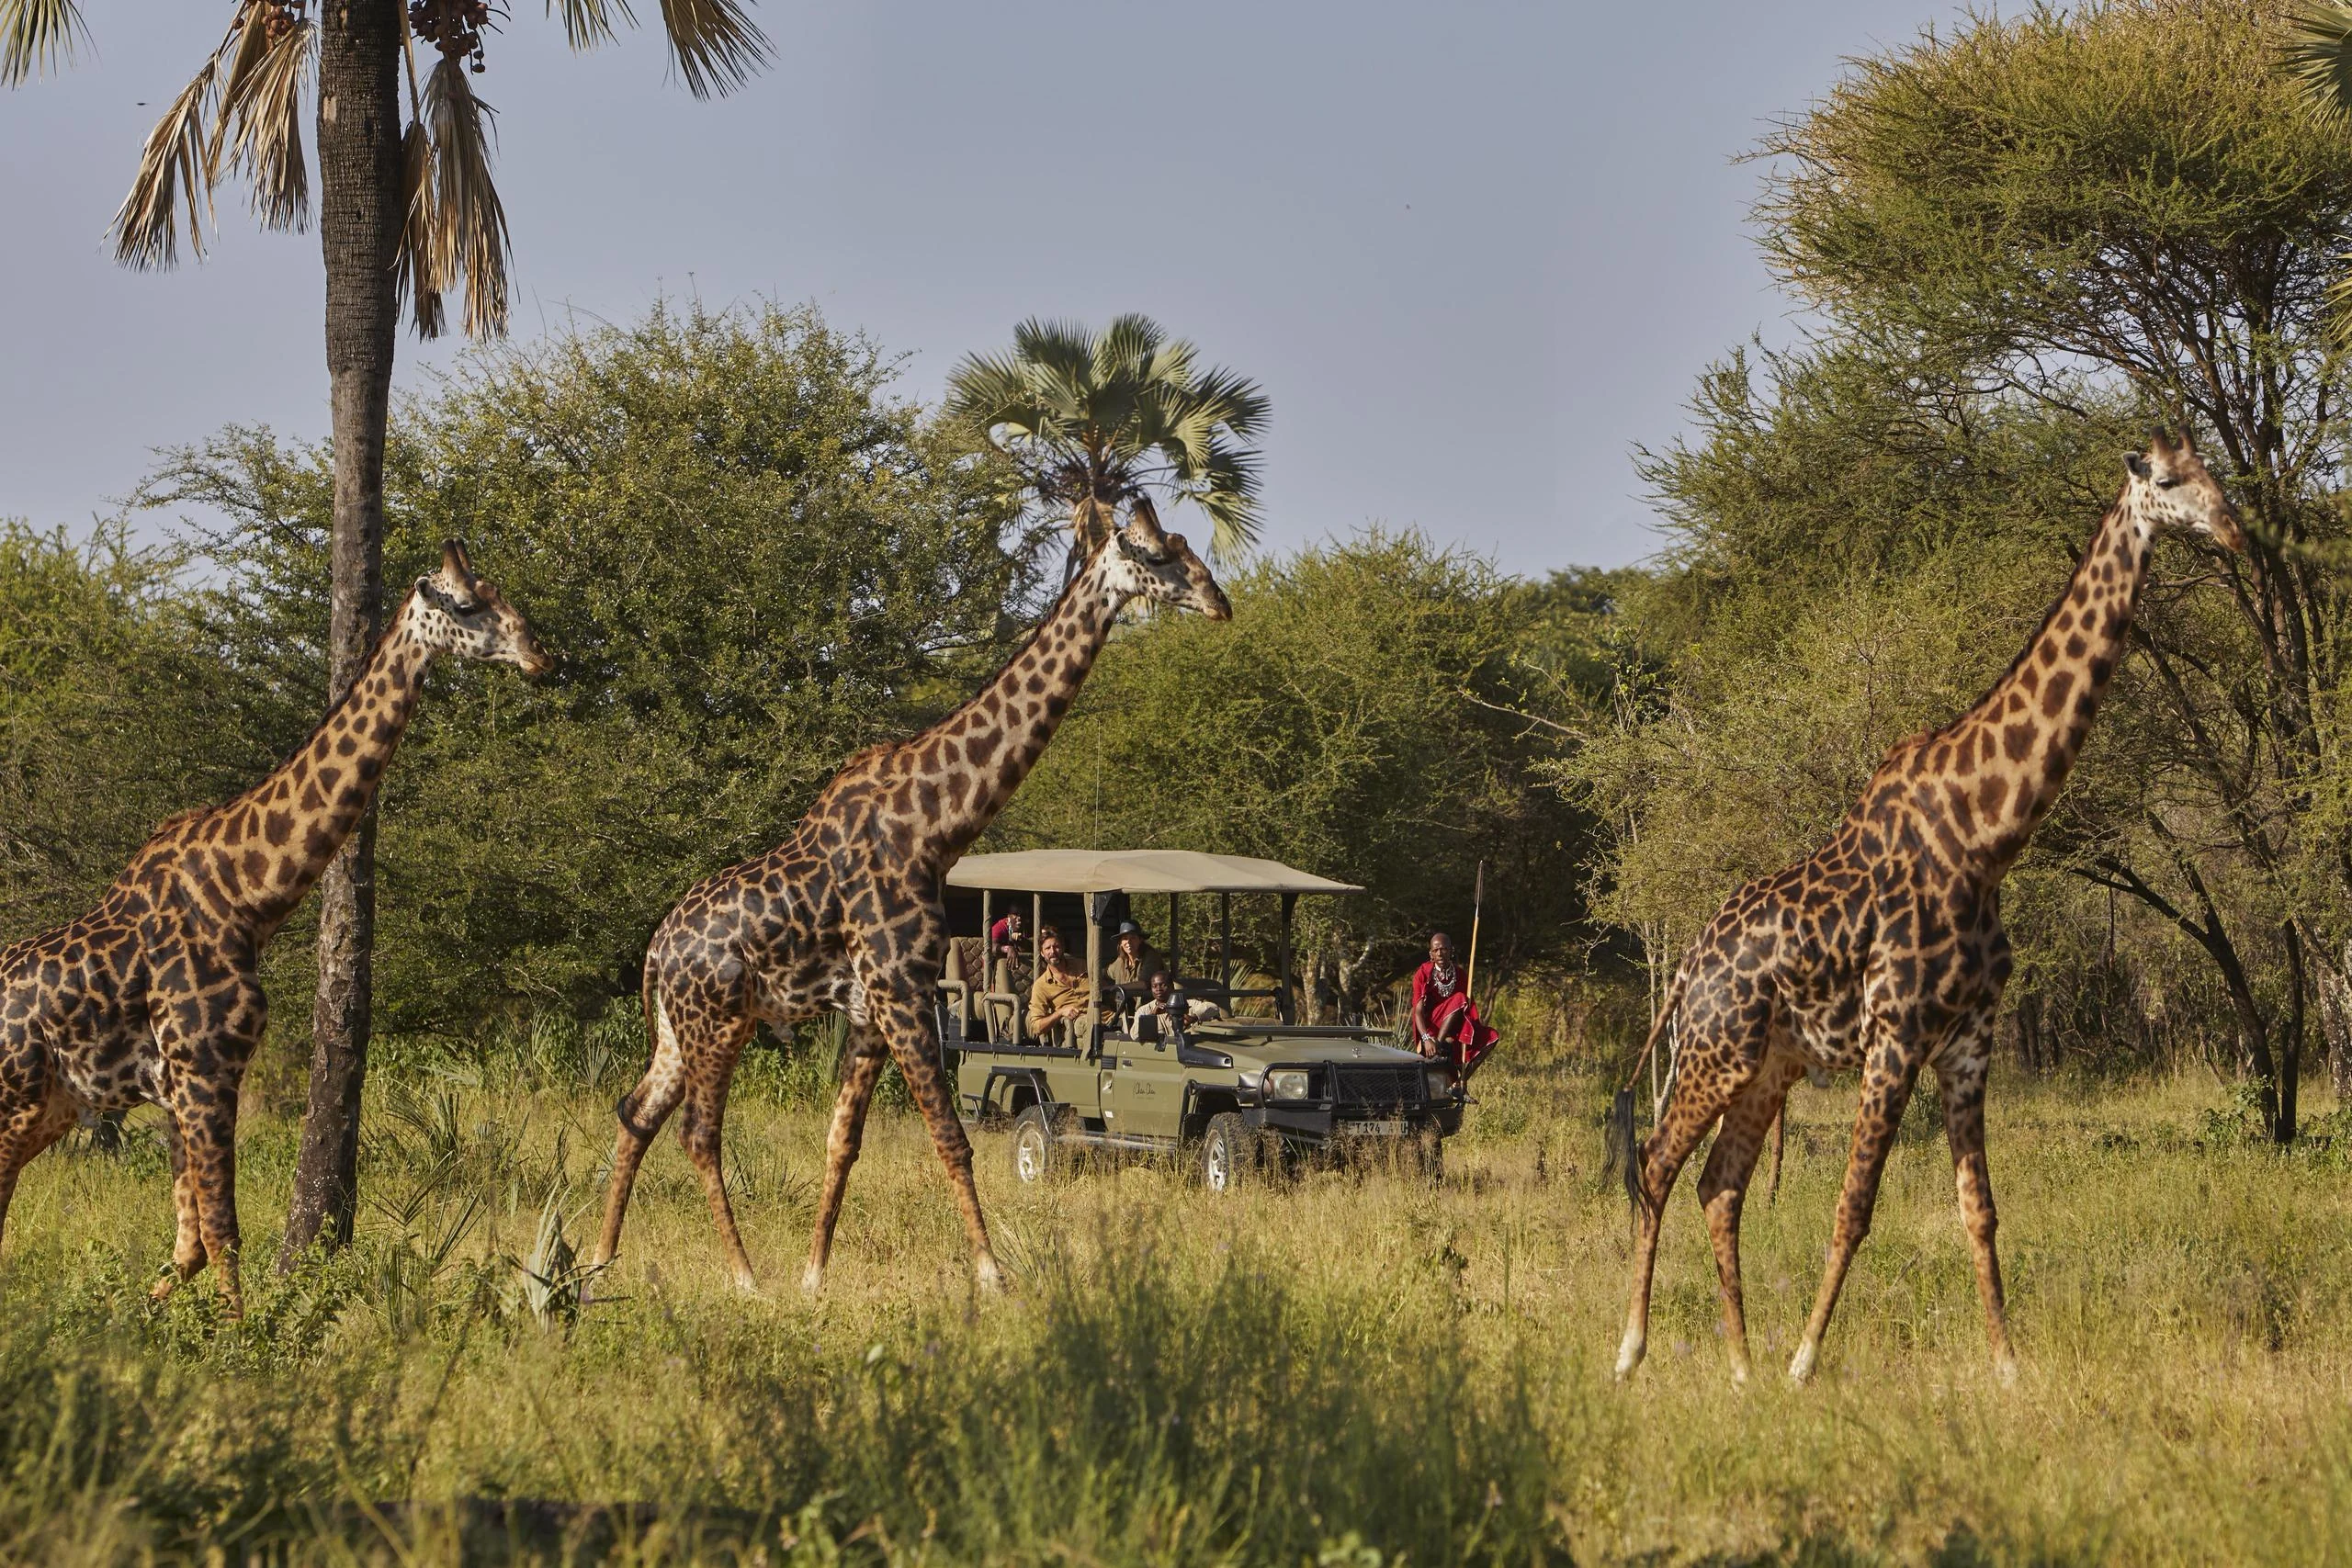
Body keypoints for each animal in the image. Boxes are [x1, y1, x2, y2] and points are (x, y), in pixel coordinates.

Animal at [0, 542, 551, 1315]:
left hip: (50, 1107)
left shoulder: (180, 1086)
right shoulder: (206, 1070)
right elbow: (224, 1234)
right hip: (17, 1104)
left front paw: (134, 1321)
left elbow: (190, 1244)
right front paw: (243, 1337)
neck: (244, 895)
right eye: (469, 604)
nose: (540, 655)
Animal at [593, 499, 1230, 1295]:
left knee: (635, 1112)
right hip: (716, 1023)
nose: (1219, 600)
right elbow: (951, 1136)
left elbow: (843, 1140)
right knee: (697, 1132)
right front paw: (992, 1273)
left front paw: (814, 1275)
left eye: (1185, 542)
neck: (934, 825)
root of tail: (657, 947)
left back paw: (599, 1261)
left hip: (680, 1029)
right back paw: (742, 1275)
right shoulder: (902, 987)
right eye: (1158, 554)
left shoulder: (870, 1007)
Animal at [1614, 432, 2244, 1387]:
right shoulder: (1896, 1033)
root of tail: (1688, 965)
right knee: (1654, 1164)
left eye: (2213, 471)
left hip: (1769, 1067)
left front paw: (2009, 1367)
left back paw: (1740, 1366)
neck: (1988, 834)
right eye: (2170, 481)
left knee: (1718, 1186)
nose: (2235, 531)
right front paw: (1806, 1361)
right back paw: (1633, 1350)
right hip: (1715, 1055)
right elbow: (1854, 1206)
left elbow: (1979, 1209)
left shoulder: (1970, 1040)